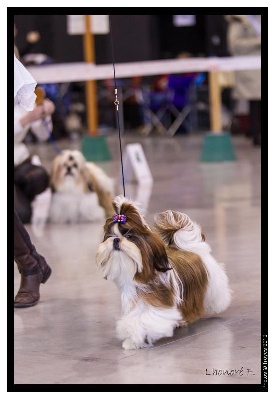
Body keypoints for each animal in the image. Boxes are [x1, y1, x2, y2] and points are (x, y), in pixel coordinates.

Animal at [96, 196, 232, 350]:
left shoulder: (156, 307)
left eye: (129, 235)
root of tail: (192, 248)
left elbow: (142, 321)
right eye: (110, 236)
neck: (141, 276)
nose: (116, 239)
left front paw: (134, 340)